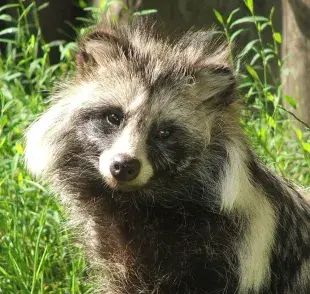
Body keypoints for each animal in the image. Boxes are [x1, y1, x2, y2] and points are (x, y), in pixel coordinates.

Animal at [24, 19, 310, 292]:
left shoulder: (237, 251)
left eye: (163, 132)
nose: (123, 165)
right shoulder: (118, 256)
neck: (140, 203)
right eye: (114, 117)